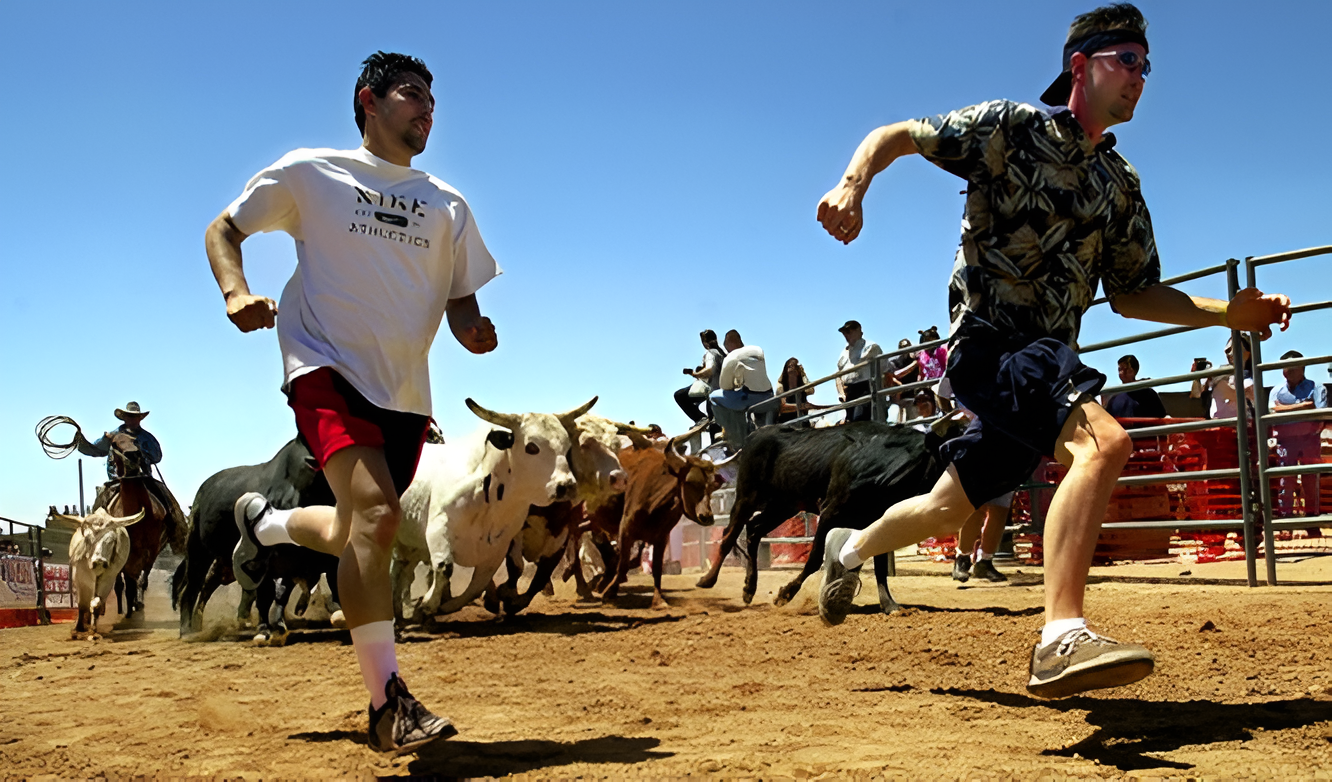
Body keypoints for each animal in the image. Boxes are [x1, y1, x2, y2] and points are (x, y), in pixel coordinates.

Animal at [89, 431, 186, 615]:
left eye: (135, 441)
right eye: (114, 443)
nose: (133, 455)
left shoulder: (151, 549)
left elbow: (141, 579)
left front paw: (137, 602)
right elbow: (124, 582)